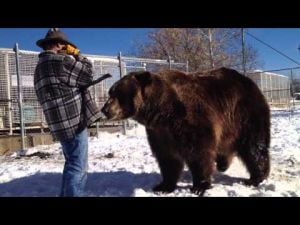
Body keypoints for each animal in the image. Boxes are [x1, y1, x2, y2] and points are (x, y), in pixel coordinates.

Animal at [101, 67, 272, 195]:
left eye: (118, 93)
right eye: (110, 92)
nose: (105, 109)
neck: (162, 111)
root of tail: (250, 82)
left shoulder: (190, 119)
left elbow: (199, 152)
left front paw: (199, 186)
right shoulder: (160, 132)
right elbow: (167, 158)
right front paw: (163, 186)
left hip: (244, 114)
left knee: (254, 146)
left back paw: (255, 178)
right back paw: (223, 164)